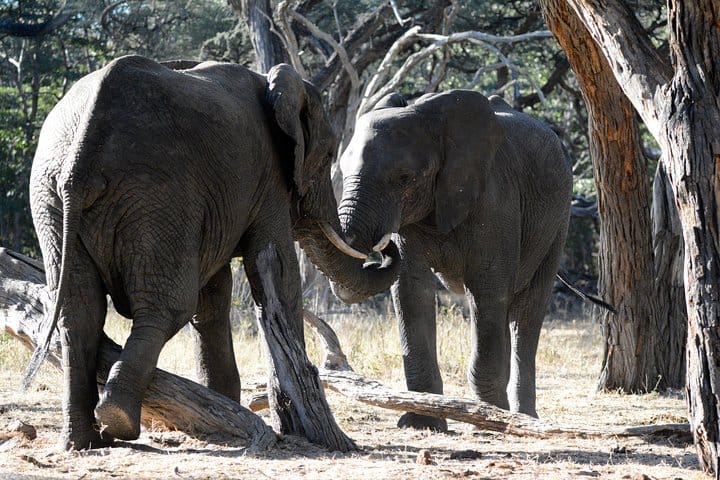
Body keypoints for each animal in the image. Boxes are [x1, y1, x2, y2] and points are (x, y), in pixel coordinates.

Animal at [26, 55, 400, 450]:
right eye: (328, 155)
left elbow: (215, 295)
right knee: (166, 306)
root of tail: (82, 152)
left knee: (78, 310)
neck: (274, 84)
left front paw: (225, 412)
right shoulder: (268, 177)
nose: (387, 245)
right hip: (157, 195)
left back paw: (83, 442)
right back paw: (118, 421)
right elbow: (279, 269)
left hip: (52, 197)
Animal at [333, 90, 573, 431]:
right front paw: (421, 422)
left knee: (527, 312)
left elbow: (486, 290)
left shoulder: (495, 200)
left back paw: (523, 417)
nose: (382, 248)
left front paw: (487, 423)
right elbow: (411, 291)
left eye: (404, 178)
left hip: (558, 220)